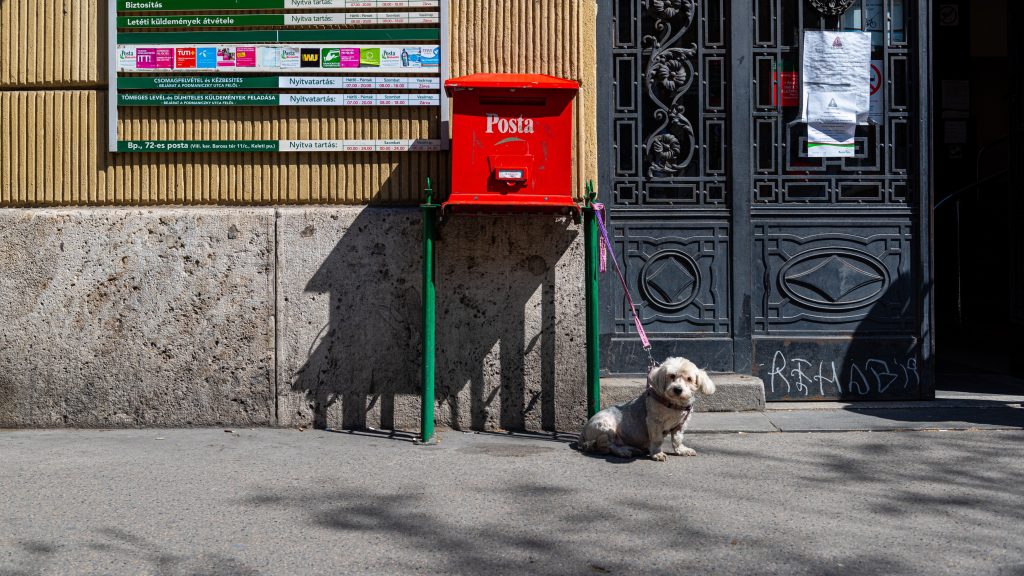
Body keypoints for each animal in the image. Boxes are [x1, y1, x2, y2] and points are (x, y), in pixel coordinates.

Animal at [581, 356, 716, 459]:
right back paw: (624, 451)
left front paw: (681, 450)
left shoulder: (680, 425)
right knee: (608, 446)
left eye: (689, 379)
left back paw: (633, 449)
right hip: (605, 427)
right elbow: (657, 439)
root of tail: (583, 431)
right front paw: (657, 453)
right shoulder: (654, 422)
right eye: (672, 376)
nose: (678, 389)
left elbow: (677, 439)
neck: (673, 404)